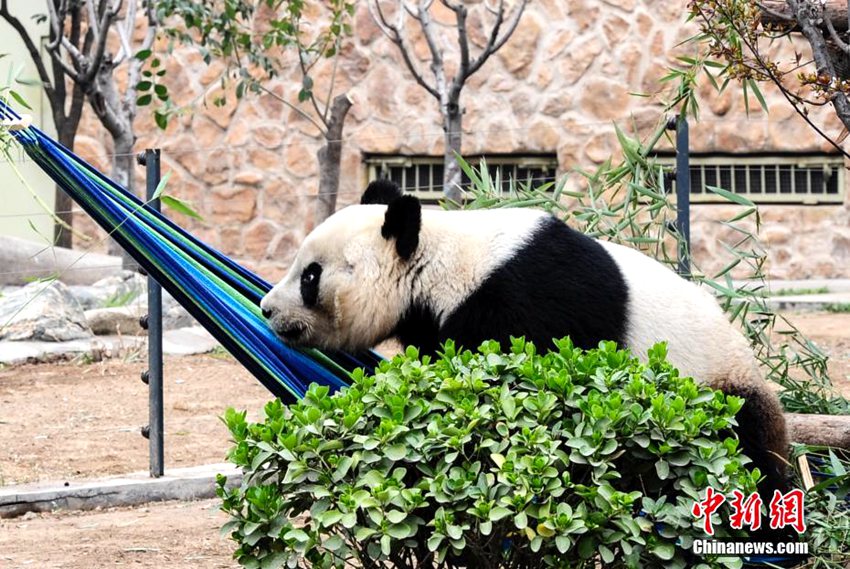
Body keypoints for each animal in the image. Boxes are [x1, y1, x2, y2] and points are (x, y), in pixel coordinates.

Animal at [260, 180, 788, 504]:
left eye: (311, 276)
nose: (267, 309)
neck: (443, 261)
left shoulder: (526, 304)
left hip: (716, 394)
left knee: (748, 453)